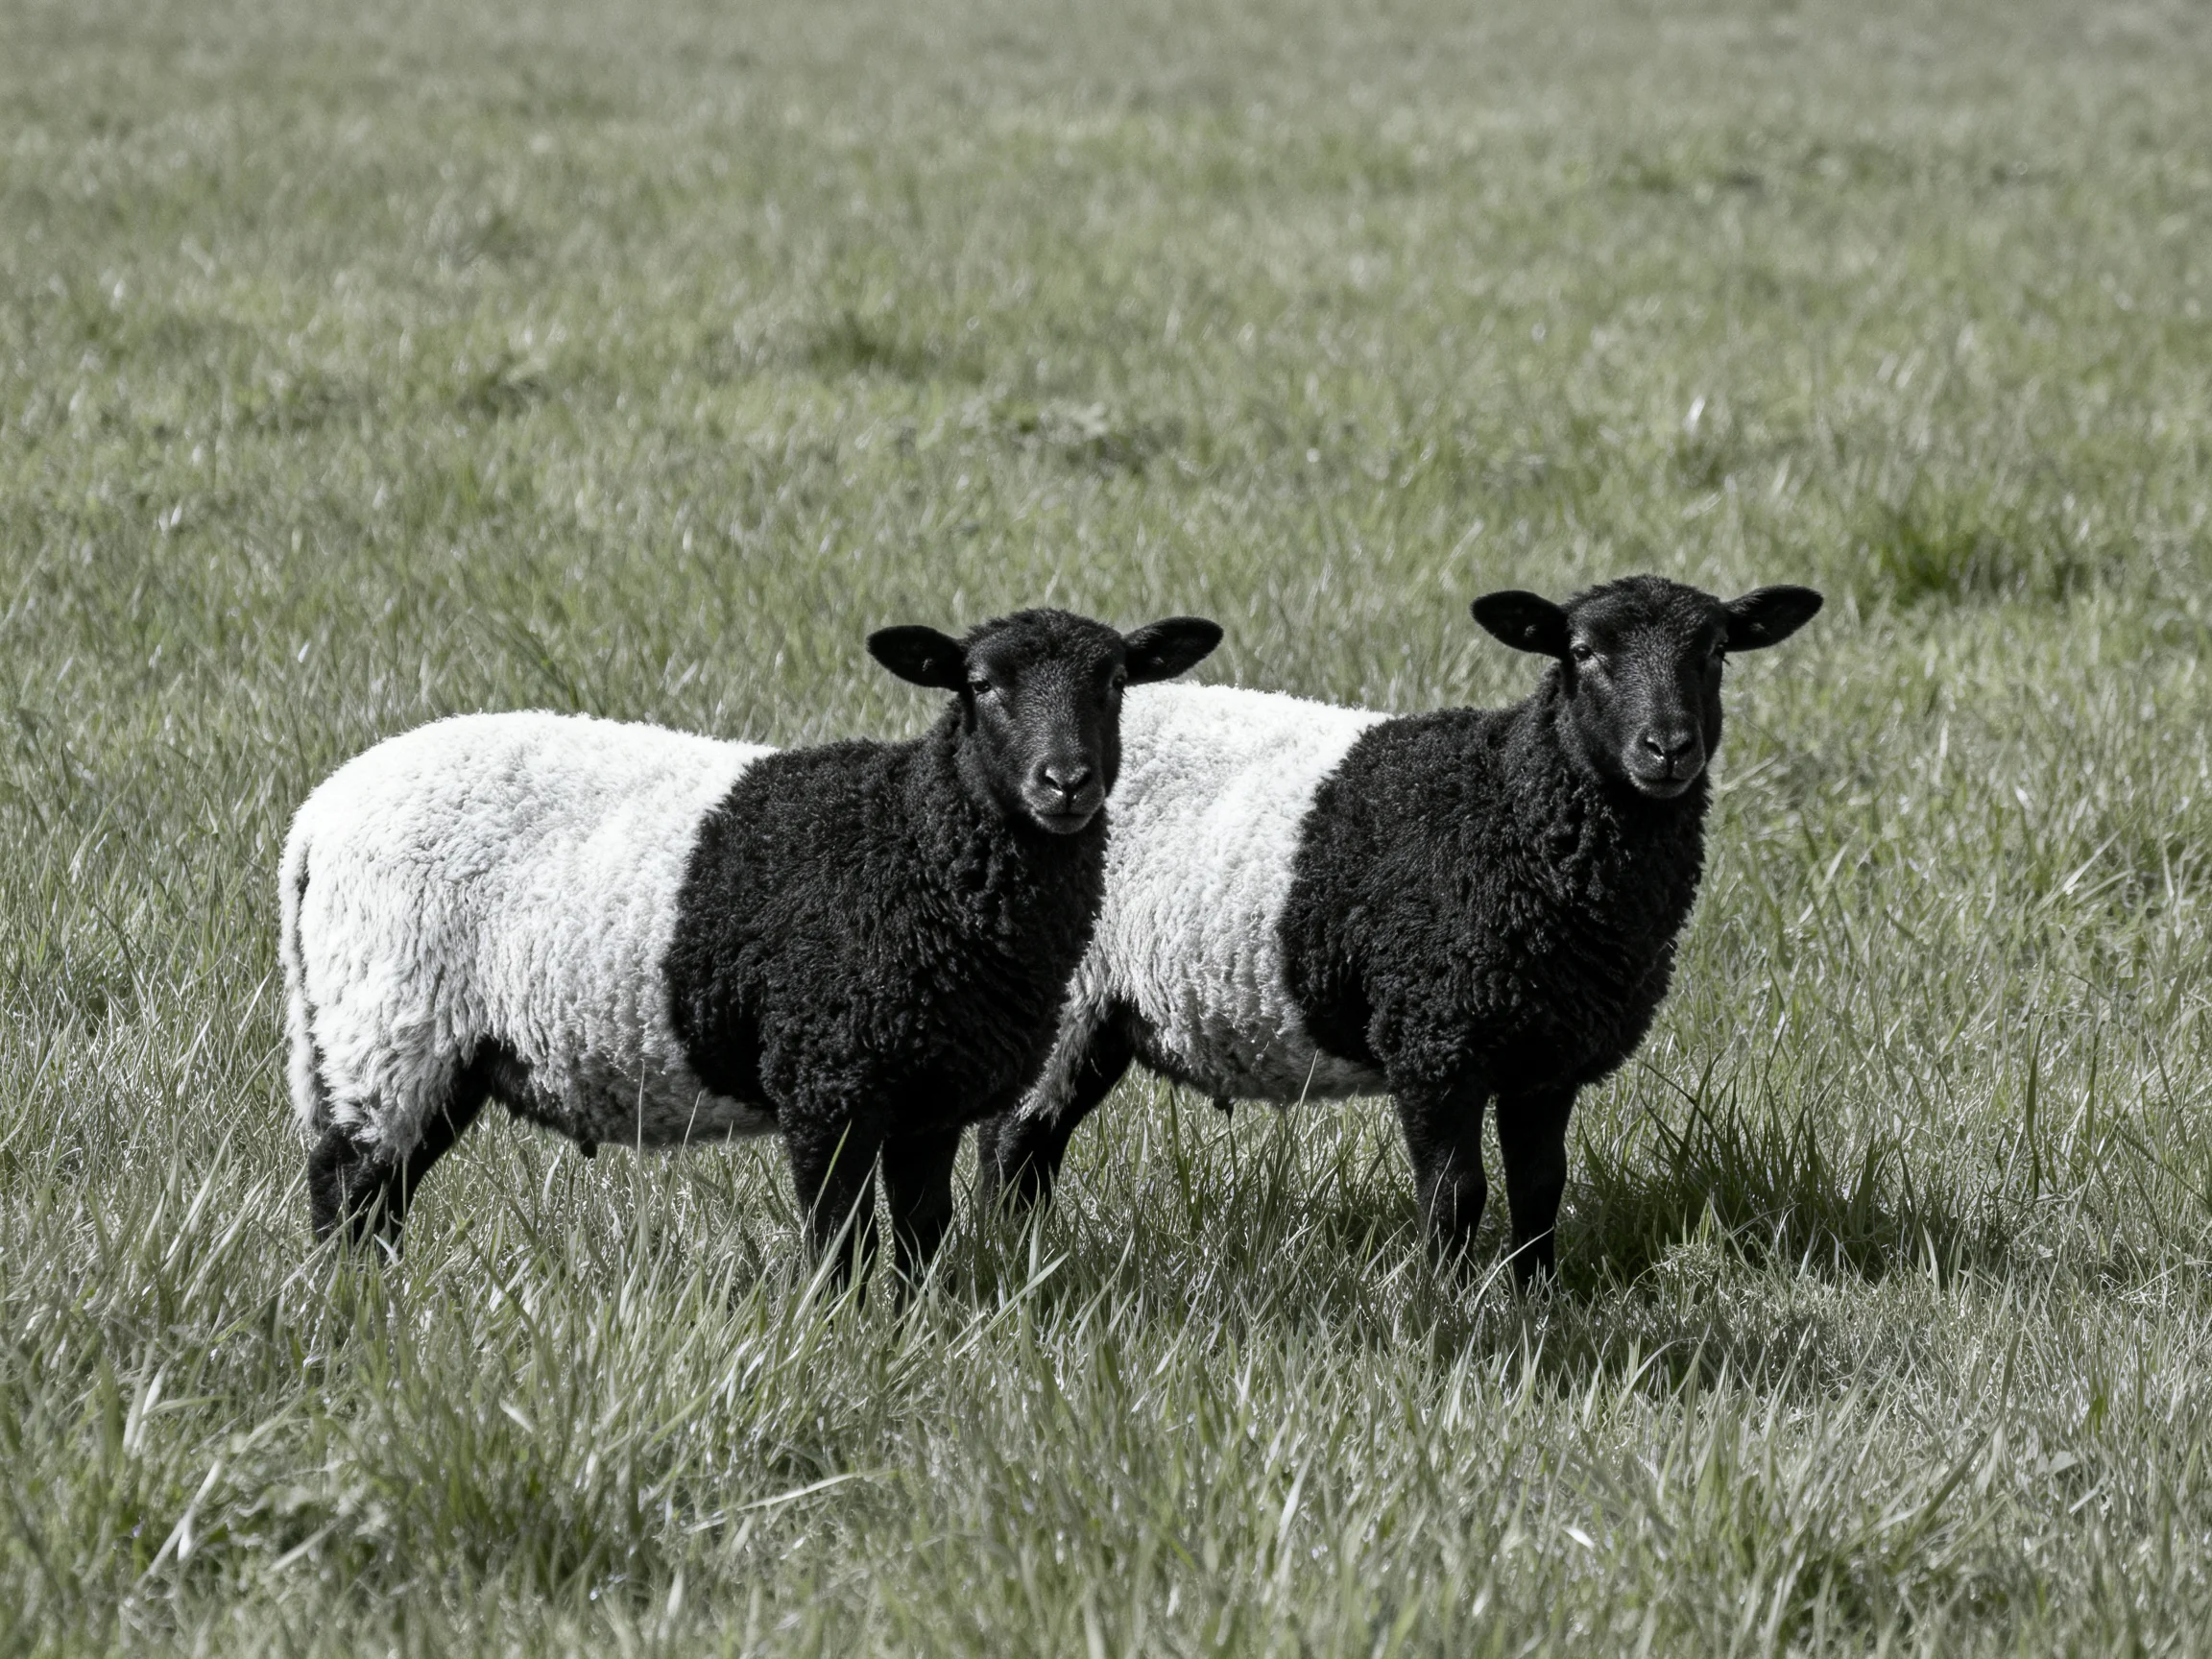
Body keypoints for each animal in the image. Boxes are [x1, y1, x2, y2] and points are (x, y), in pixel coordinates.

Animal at [282, 607, 1222, 1286]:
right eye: (982, 685)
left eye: (1114, 681)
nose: (1065, 782)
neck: (915, 841)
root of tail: (318, 815)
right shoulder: (827, 1080)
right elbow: (841, 1242)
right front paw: (846, 1341)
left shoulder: (930, 1098)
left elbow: (922, 1235)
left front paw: (920, 1330)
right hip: (390, 1015)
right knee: (345, 1184)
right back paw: (350, 1308)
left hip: (432, 1044)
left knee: (382, 1191)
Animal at [976, 576, 1822, 1287]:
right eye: (1582, 652)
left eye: (1715, 652)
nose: (1668, 749)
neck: (1513, 808)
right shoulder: (1432, 1038)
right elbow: (1456, 1192)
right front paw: (1445, 1305)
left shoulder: (1547, 1055)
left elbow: (1540, 1188)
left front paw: (1537, 1300)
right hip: (1070, 990)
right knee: (1012, 1139)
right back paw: (1007, 1256)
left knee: (1035, 1141)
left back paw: (1028, 1254)